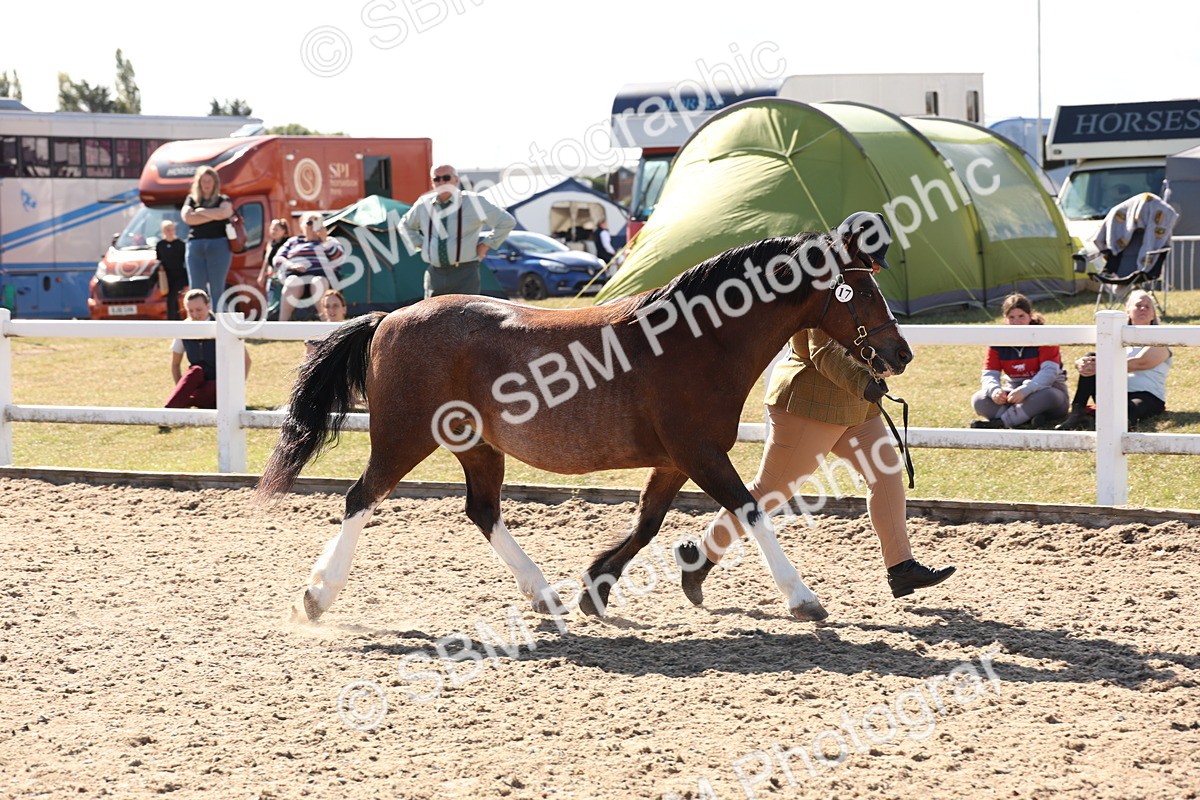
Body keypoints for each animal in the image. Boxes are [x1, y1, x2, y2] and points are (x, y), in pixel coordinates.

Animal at [257, 216, 912, 623]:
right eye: (861, 290)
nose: (899, 353)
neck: (697, 339)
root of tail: (387, 319)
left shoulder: (675, 460)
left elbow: (648, 523)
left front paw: (596, 587)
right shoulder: (700, 453)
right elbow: (751, 511)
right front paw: (803, 598)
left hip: (476, 445)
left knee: (482, 511)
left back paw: (544, 595)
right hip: (403, 438)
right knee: (360, 498)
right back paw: (316, 597)